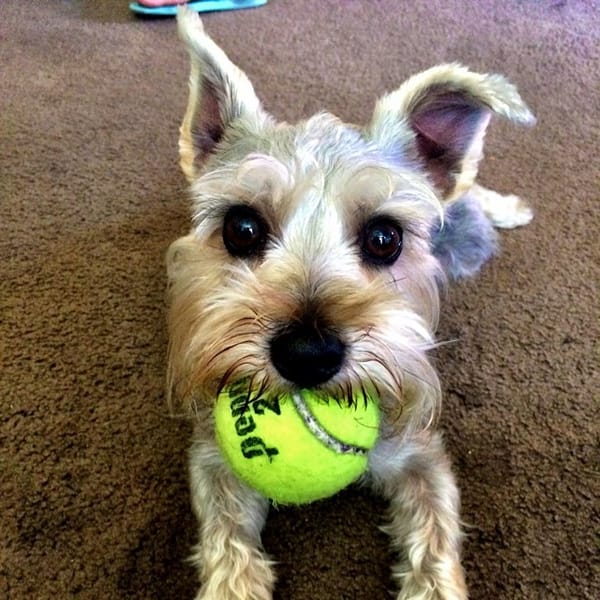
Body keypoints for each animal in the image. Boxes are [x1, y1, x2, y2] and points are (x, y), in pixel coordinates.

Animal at [165, 7, 536, 596]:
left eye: (385, 237)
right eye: (241, 228)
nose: (307, 354)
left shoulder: (419, 456)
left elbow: (433, 541)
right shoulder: (213, 456)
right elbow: (227, 542)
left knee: (469, 191)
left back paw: (509, 208)